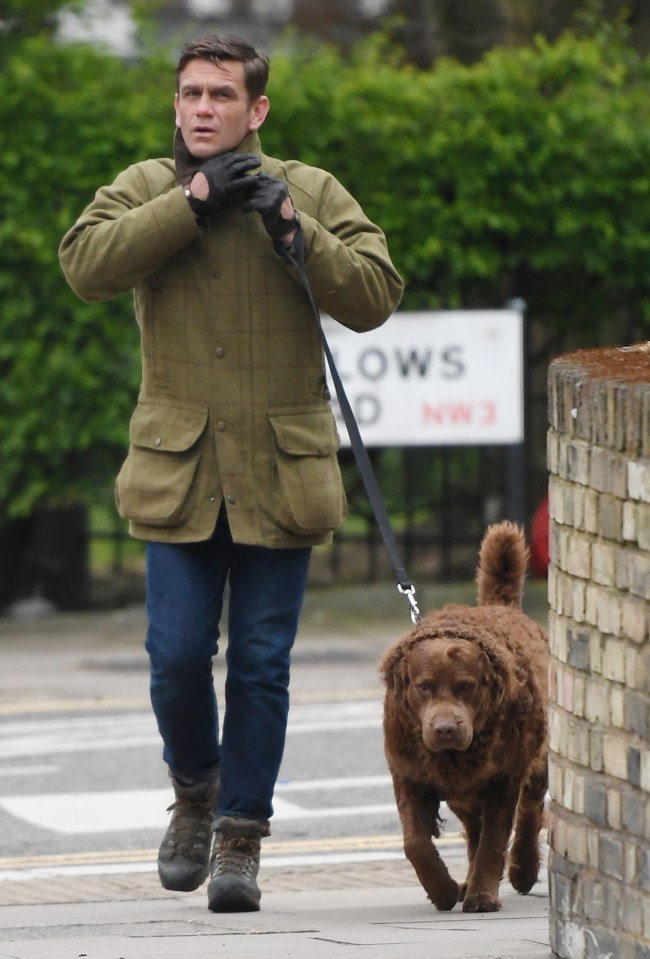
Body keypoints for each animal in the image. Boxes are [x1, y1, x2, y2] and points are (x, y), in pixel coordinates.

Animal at [380, 524, 548, 916]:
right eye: (424, 686)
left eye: (466, 686)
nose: (445, 729)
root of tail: (500, 605)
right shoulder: (410, 774)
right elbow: (416, 843)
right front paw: (443, 890)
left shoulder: (504, 778)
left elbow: (494, 841)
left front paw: (483, 896)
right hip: (463, 790)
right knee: (474, 828)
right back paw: (469, 880)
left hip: (536, 753)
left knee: (530, 810)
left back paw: (523, 869)